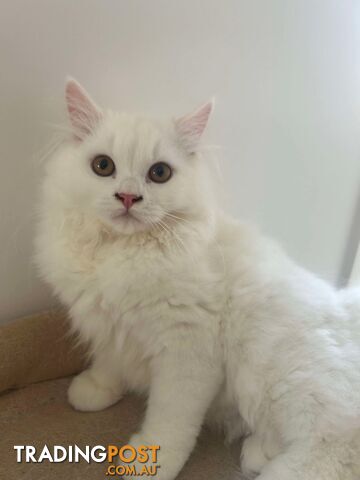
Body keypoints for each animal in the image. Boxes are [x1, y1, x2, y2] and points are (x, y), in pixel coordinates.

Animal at [35, 79, 360, 476]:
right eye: (103, 166)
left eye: (159, 173)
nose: (127, 197)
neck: (122, 252)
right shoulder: (108, 325)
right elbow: (110, 363)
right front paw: (95, 390)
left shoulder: (187, 349)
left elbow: (170, 422)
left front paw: (150, 463)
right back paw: (258, 452)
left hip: (275, 371)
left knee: (333, 446)